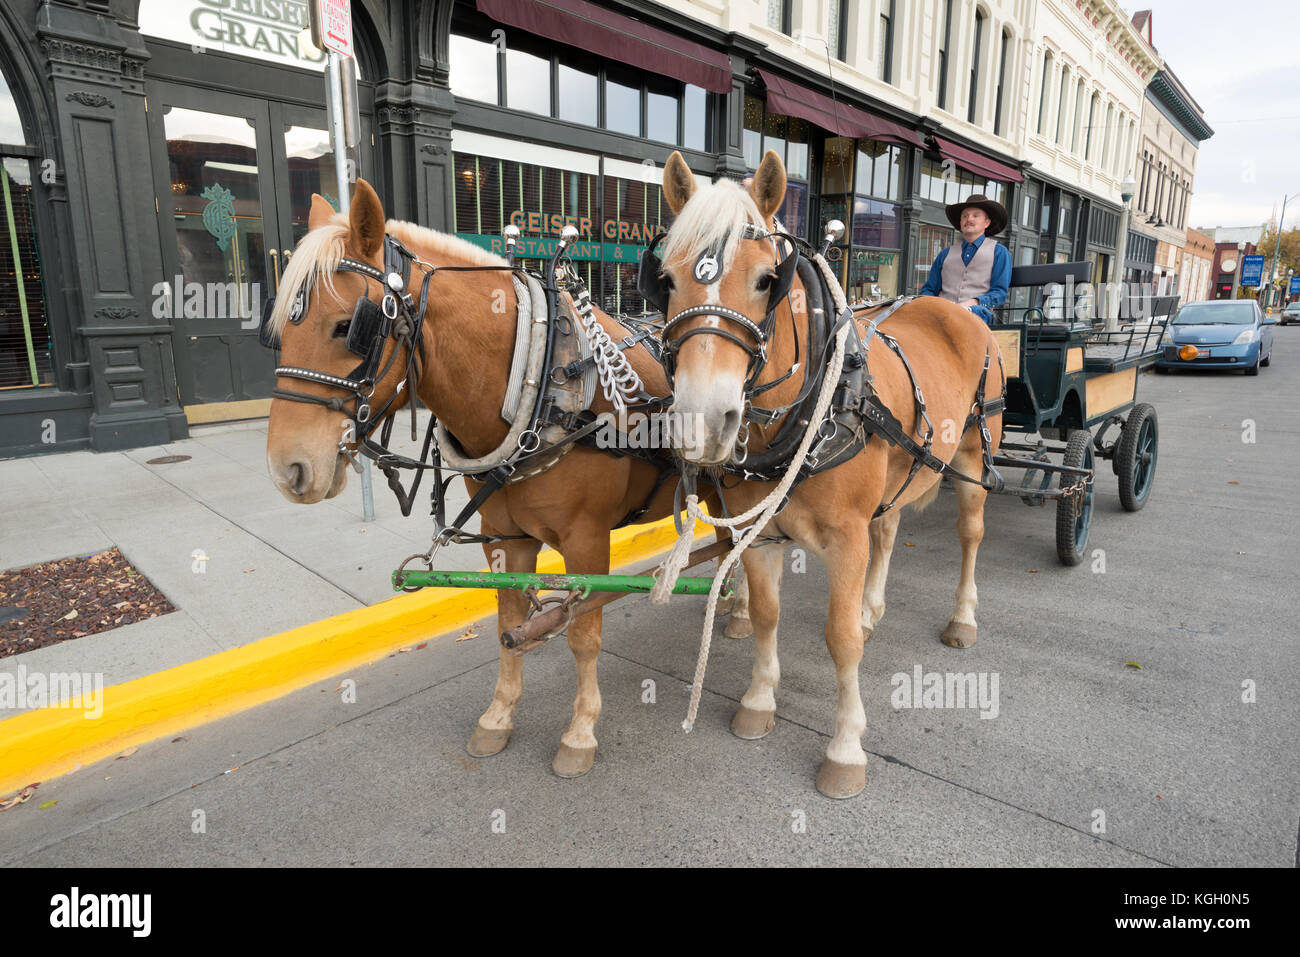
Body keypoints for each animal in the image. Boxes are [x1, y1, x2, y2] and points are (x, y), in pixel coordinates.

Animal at [263, 178, 729, 779]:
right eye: (278, 328)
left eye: (350, 328)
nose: (288, 469)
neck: (540, 384)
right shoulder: (505, 536)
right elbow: (507, 623)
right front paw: (498, 717)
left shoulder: (586, 539)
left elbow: (583, 634)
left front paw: (580, 732)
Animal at [653, 149, 1005, 798]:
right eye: (666, 278)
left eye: (767, 280)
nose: (702, 422)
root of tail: (951, 308)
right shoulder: (761, 534)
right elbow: (766, 615)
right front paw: (759, 701)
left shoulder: (845, 538)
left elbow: (838, 640)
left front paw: (845, 748)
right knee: (888, 530)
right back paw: (872, 610)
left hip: (972, 454)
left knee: (971, 535)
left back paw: (962, 618)